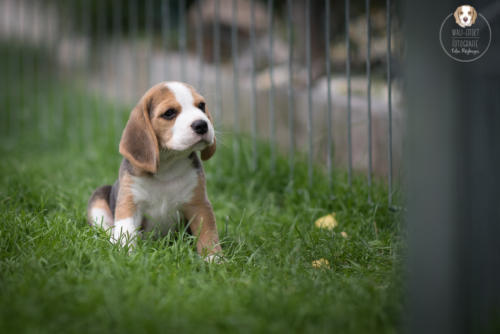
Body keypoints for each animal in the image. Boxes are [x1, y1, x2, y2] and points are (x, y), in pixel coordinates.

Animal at [87, 81, 222, 260]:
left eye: (201, 105)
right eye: (169, 113)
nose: (202, 124)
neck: (167, 167)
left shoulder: (199, 205)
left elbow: (208, 234)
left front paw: (214, 259)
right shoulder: (129, 203)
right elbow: (126, 231)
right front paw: (126, 256)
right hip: (98, 200)